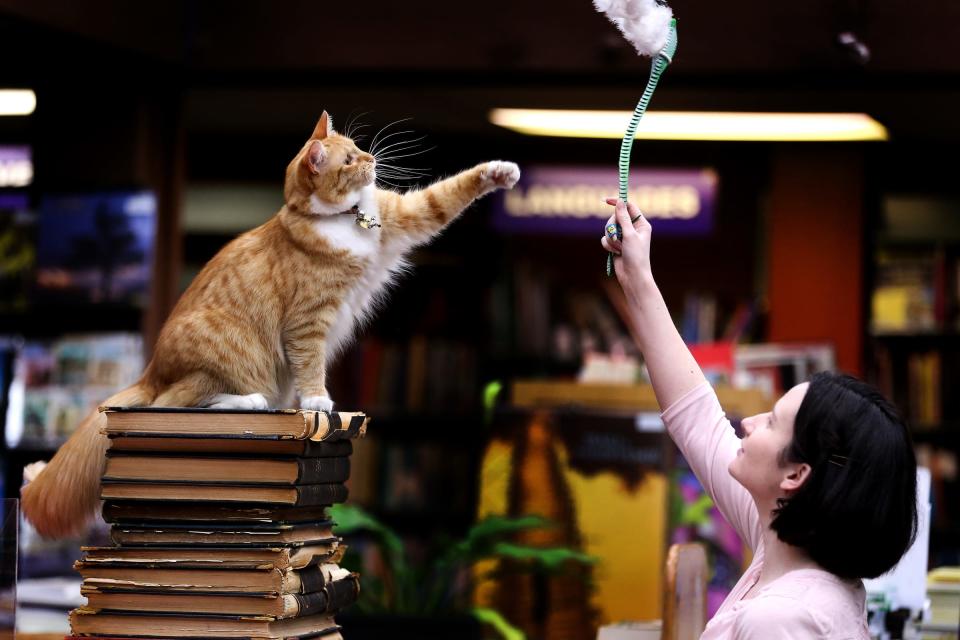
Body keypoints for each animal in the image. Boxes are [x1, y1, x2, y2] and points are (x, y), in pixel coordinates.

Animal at [20, 112, 516, 536]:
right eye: (350, 160)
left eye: (356, 146)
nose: (372, 160)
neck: (349, 222)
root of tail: (150, 370)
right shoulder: (307, 322)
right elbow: (311, 366)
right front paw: (317, 402)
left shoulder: (410, 216)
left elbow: (451, 191)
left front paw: (501, 172)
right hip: (231, 357)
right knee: (174, 404)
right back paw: (248, 402)